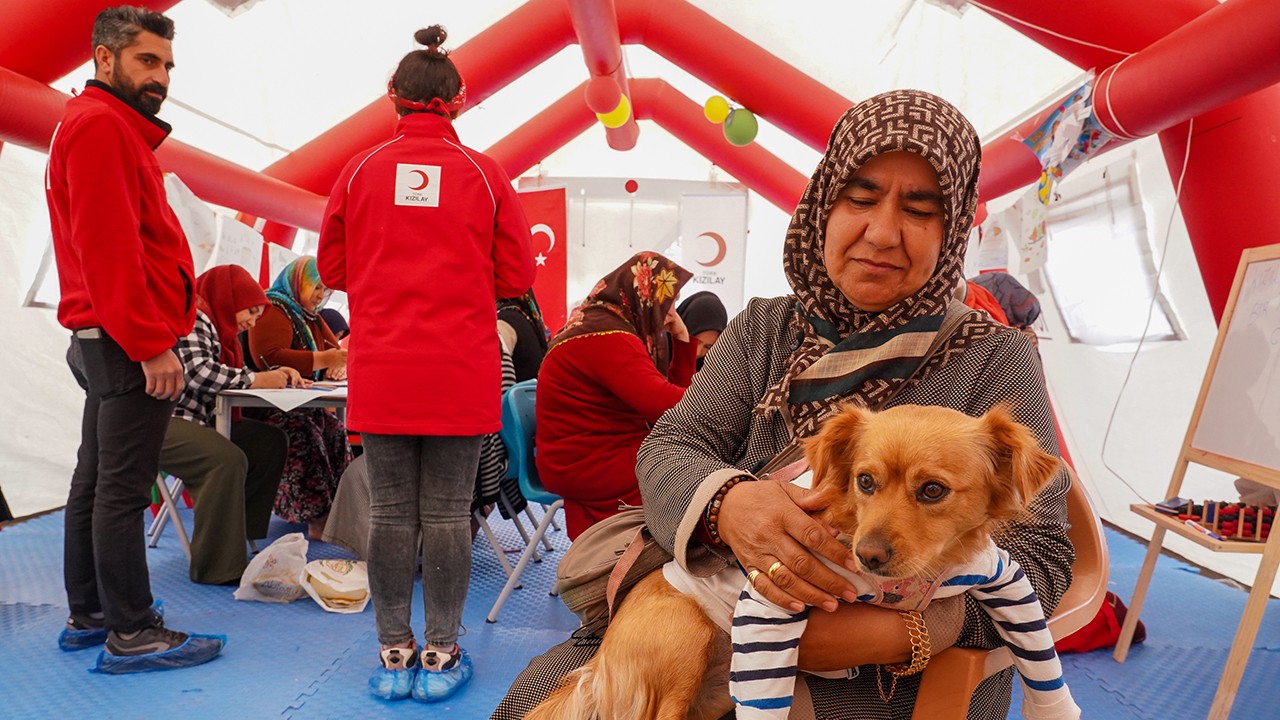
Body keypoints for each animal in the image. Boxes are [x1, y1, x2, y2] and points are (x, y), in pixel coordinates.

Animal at [527, 404, 1059, 717]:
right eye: (865, 481)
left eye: (933, 490)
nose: (868, 554)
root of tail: (597, 670)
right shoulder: (768, 602)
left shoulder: (1002, 576)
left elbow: (1039, 650)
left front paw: (1057, 707)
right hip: (686, 638)